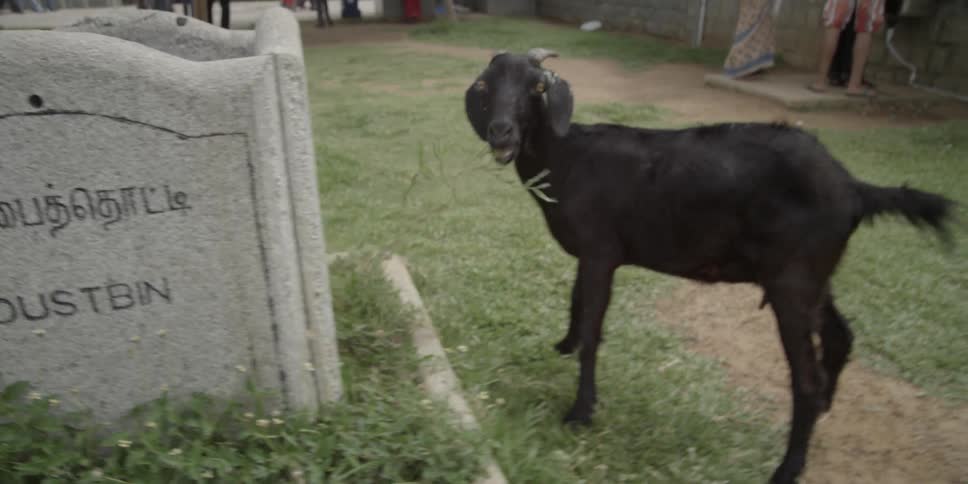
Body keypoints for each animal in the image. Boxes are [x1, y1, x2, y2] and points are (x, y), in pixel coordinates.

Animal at [462, 48, 955, 484]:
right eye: (486, 86)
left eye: (536, 87)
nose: (501, 133)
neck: (567, 159)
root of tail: (854, 188)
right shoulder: (591, 253)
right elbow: (577, 304)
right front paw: (563, 345)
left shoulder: (602, 251)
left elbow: (594, 331)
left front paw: (580, 413)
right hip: (814, 275)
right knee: (840, 336)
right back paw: (826, 411)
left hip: (792, 282)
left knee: (807, 380)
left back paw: (788, 468)